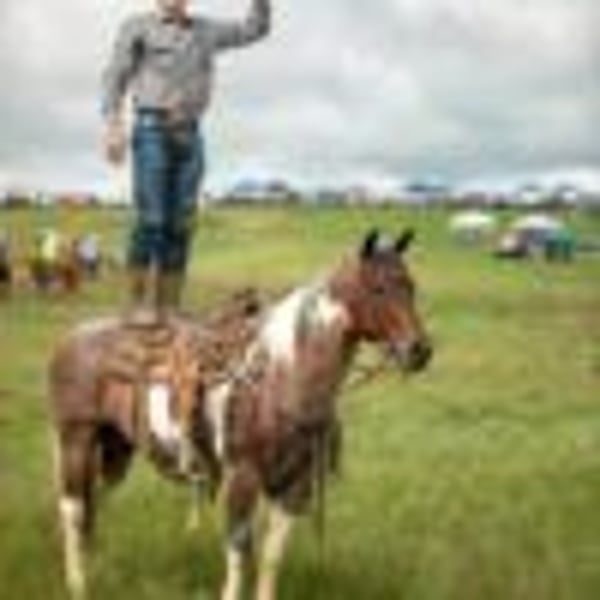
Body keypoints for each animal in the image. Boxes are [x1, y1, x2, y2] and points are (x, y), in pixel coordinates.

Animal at [49, 229, 432, 600]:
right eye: (377, 288)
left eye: (410, 286)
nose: (419, 350)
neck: (279, 377)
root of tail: (72, 337)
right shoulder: (243, 479)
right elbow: (237, 551)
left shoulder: (294, 487)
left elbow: (271, 556)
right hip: (76, 438)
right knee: (72, 508)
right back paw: (77, 584)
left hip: (116, 447)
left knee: (94, 501)